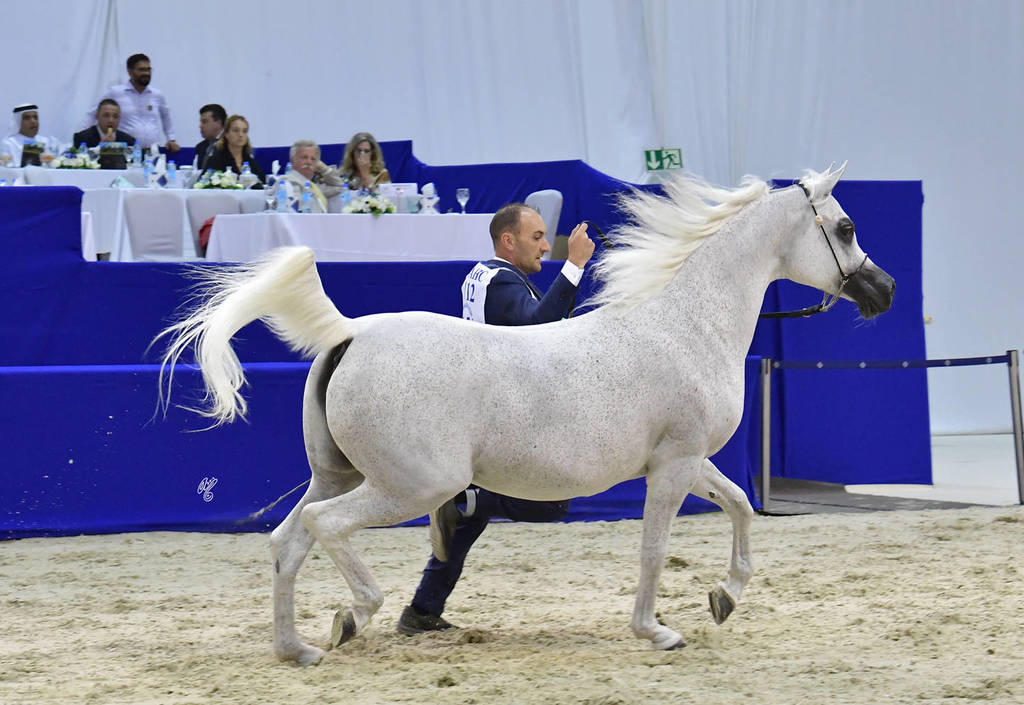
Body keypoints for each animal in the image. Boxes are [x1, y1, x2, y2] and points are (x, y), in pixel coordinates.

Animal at [156, 163, 894, 666]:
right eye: (847, 226)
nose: (884, 290)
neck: (687, 326)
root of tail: (349, 333)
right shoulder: (674, 465)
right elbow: (655, 547)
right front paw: (657, 630)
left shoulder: (684, 459)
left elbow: (741, 505)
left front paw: (726, 595)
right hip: (411, 486)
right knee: (323, 528)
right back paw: (353, 616)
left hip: (339, 474)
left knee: (287, 541)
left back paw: (298, 648)